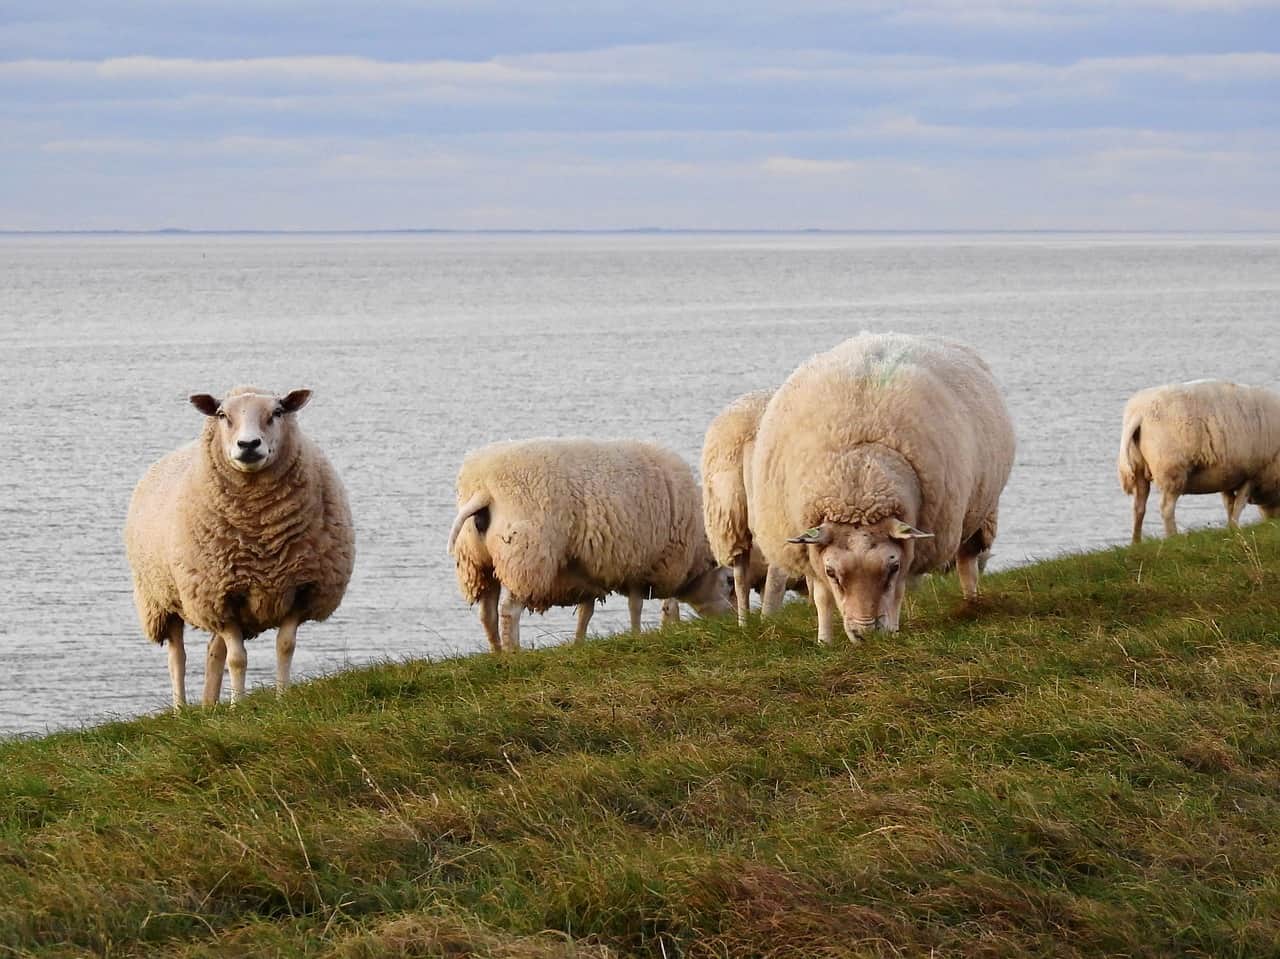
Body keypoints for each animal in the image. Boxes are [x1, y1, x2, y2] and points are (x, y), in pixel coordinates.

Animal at [124, 387, 355, 708]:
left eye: (277, 412)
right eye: (222, 415)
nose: (248, 444)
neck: (260, 533)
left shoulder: (301, 589)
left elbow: (284, 646)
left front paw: (281, 700)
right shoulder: (219, 599)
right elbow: (237, 659)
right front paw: (238, 707)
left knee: (213, 651)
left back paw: (209, 705)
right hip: (162, 600)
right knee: (177, 656)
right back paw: (181, 709)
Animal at [446, 438, 732, 651]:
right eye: (729, 581)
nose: (730, 622)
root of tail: (484, 489)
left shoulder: (587, 573)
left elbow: (587, 612)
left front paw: (579, 644)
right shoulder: (639, 564)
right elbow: (636, 607)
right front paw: (636, 636)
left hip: (478, 563)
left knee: (487, 613)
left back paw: (497, 653)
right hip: (525, 557)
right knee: (509, 611)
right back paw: (513, 652)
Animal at [750, 332, 1016, 644]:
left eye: (892, 567)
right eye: (832, 571)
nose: (867, 635)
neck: (858, 482)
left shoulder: (908, 553)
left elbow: (899, 592)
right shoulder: (811, 554)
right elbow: (822, 599)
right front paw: (824, 641)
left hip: (980, 513)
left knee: (967, 560)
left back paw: (971, 602)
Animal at [1117, 379, 1280, 543]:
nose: (1272, 522)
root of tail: (1139, 413)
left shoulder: (1227, 475)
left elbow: (1229, 504)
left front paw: (1231, 529)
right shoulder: (1252, 474)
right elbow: (1238, 505)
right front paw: (1236, 530)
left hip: (1138, 469)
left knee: (1138, 507)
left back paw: (1136, 542)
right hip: (1171, 470)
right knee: (1166, 508)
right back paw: (1173, 537)